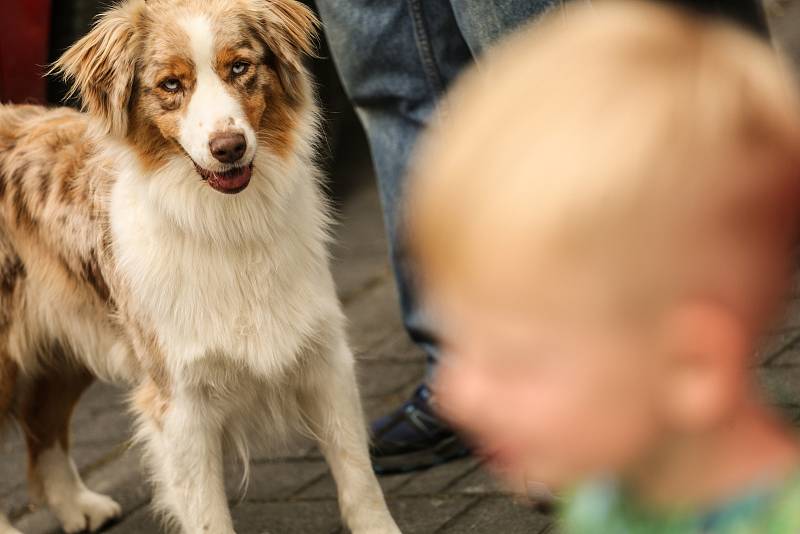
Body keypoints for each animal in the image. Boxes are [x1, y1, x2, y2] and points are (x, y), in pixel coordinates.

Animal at [0, 1, 400, 534]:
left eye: (240, 67)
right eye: (171, 84)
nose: (229, 147)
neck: (224, 222)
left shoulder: (322, 356)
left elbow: (359, 479)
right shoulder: (179, 404)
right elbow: (208, 515)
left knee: (40, 420)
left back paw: (77, 506)